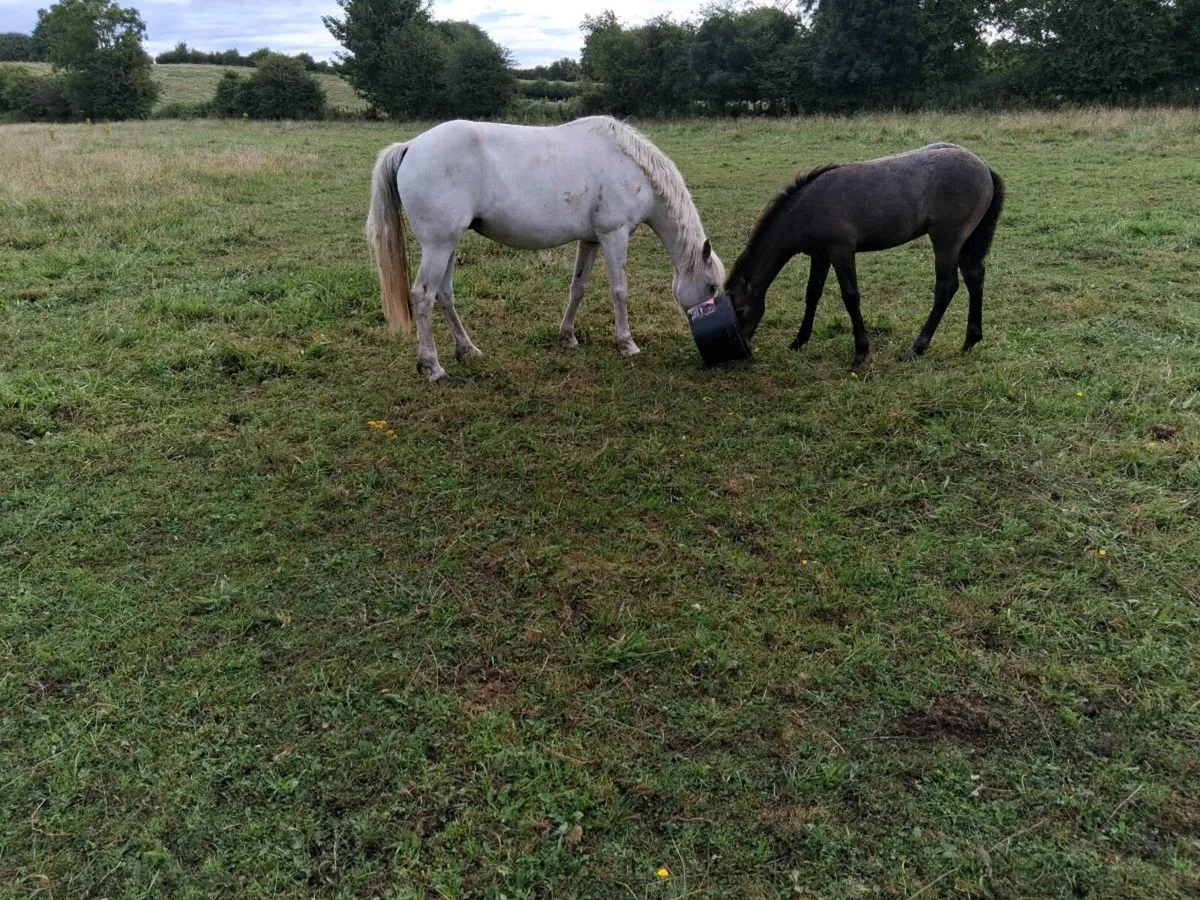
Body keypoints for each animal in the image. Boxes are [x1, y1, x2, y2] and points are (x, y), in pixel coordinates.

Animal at [366, 116, 726, 383]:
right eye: (711, 286)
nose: (707, 321)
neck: (630, 166)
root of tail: (410, 147)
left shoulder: (591, 240)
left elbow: (578, 288)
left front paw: (567, 337)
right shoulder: (614, 236)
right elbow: (620, 291)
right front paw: (627, 343)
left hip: (448, 246)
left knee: (444, 295)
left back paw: (467, 350)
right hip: (437, 247)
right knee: (423, 296)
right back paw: (433, 367)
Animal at [721, 143, 1005, 370]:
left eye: (741, 309)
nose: (743, 347)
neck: (807, 209)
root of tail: (984, 167)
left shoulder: (841, 251)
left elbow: (850, 297)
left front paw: (861, 353)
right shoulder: (820, 254)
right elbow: (812, 293)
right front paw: (799, 341)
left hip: (947, 239)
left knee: (947, 287)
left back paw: (915, 349)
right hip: (967, 240)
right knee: (974, 277)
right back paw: (970, 340)